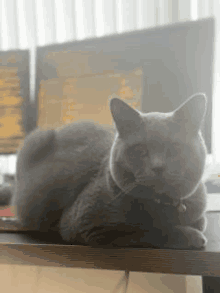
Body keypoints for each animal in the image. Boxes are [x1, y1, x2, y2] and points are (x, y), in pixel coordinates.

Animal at [0, 93, 208, 249]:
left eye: (175, 148)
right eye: (140, 150)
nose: (158, 166)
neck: (163, 205)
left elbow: (200, 221)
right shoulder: (87, 226)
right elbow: (150, 231)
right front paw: (193, 236)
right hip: (35, 139)